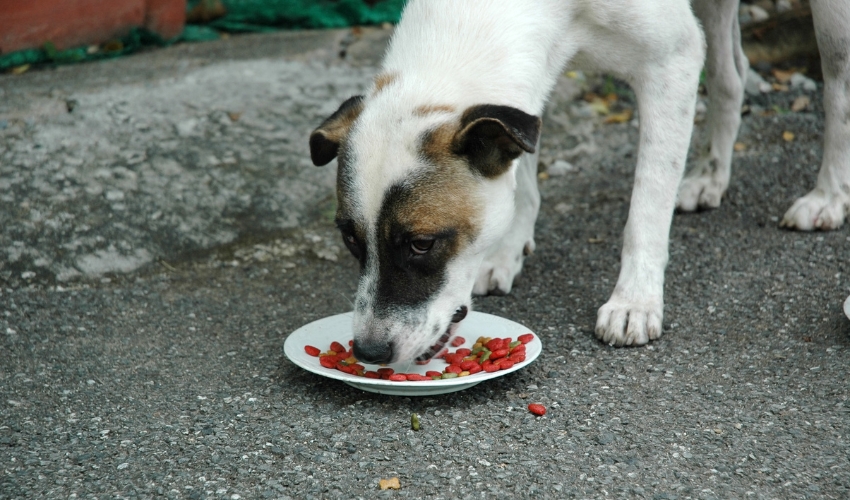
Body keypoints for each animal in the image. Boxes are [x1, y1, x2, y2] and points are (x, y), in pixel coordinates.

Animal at [308, 0, 844, 362]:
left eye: (421, 244)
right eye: (350, 239)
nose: (368, 353)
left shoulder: (672, 60)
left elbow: (647, 206)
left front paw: (635, 299)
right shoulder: (529, 92)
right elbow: (522, 178)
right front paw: (507, 249)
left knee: (835, 83)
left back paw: (828, 196)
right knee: (732, 72)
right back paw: (711, 174)